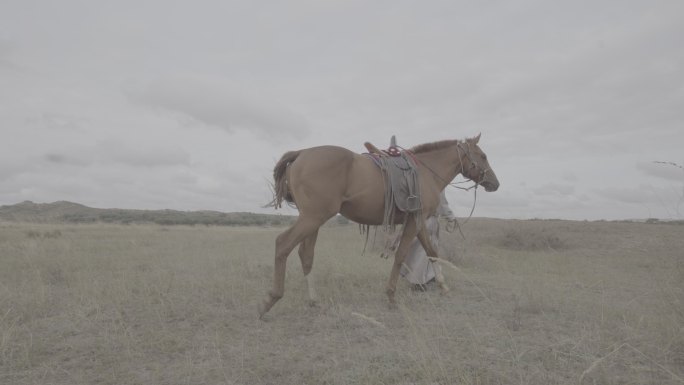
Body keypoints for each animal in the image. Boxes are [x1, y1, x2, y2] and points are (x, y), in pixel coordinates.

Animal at [260, 134, 500, 316]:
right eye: (483, 156)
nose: (495, 183)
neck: (426, 171)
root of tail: (301, 153)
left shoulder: (419, 221)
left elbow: (432, 252)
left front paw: (443, 287)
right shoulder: (415, 221)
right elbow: (401, 255)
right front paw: (391, 296)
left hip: (313, 219)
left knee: (306, 254)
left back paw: (313, 300)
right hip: (312, 218)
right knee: (283, 244)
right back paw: (271, 299)